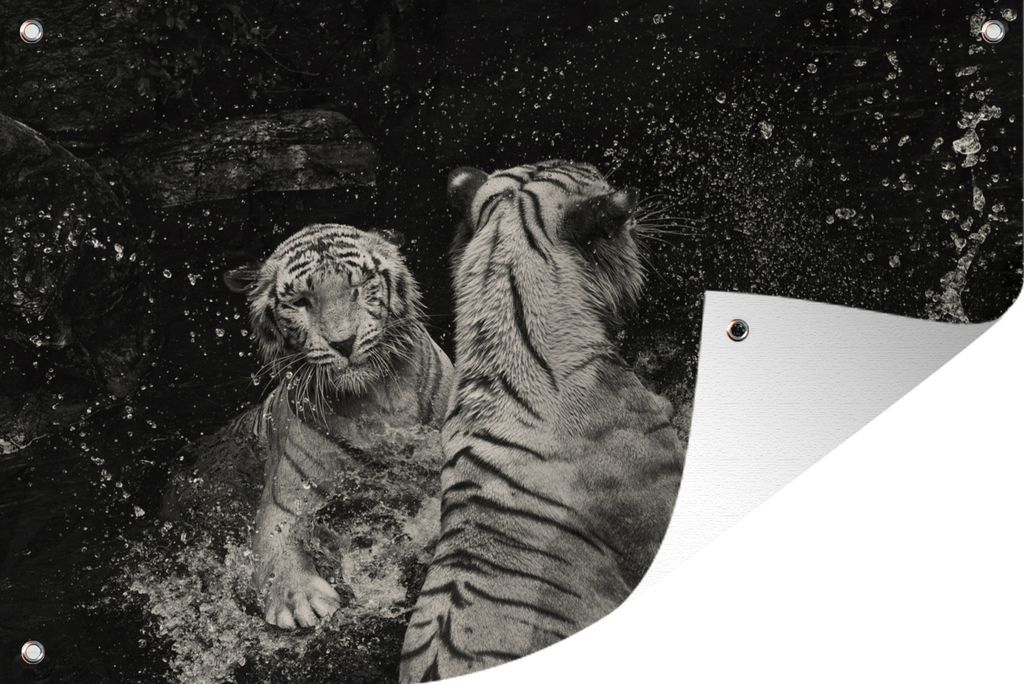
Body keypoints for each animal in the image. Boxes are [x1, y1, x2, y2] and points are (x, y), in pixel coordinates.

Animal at [222, 223, 454, 630]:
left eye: (358, 286)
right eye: (301, 302)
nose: (343, 342)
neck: (376, 401)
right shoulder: (286, 497)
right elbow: (275, 546)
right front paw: (299, 599)